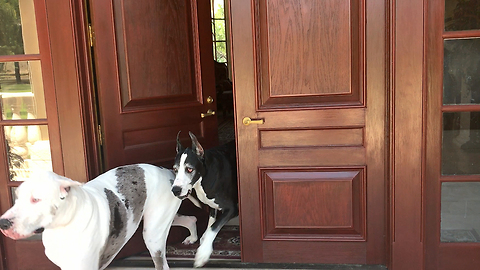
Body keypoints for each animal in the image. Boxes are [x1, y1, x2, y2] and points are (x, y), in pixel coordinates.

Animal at [0, 163, 197, 268]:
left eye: (36, 199)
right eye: (17, 197)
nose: (3, 223)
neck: (63, 227)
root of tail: (167, 171)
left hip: (153, 236)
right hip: (162, 218)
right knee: (190, 218)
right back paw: (193, 236)